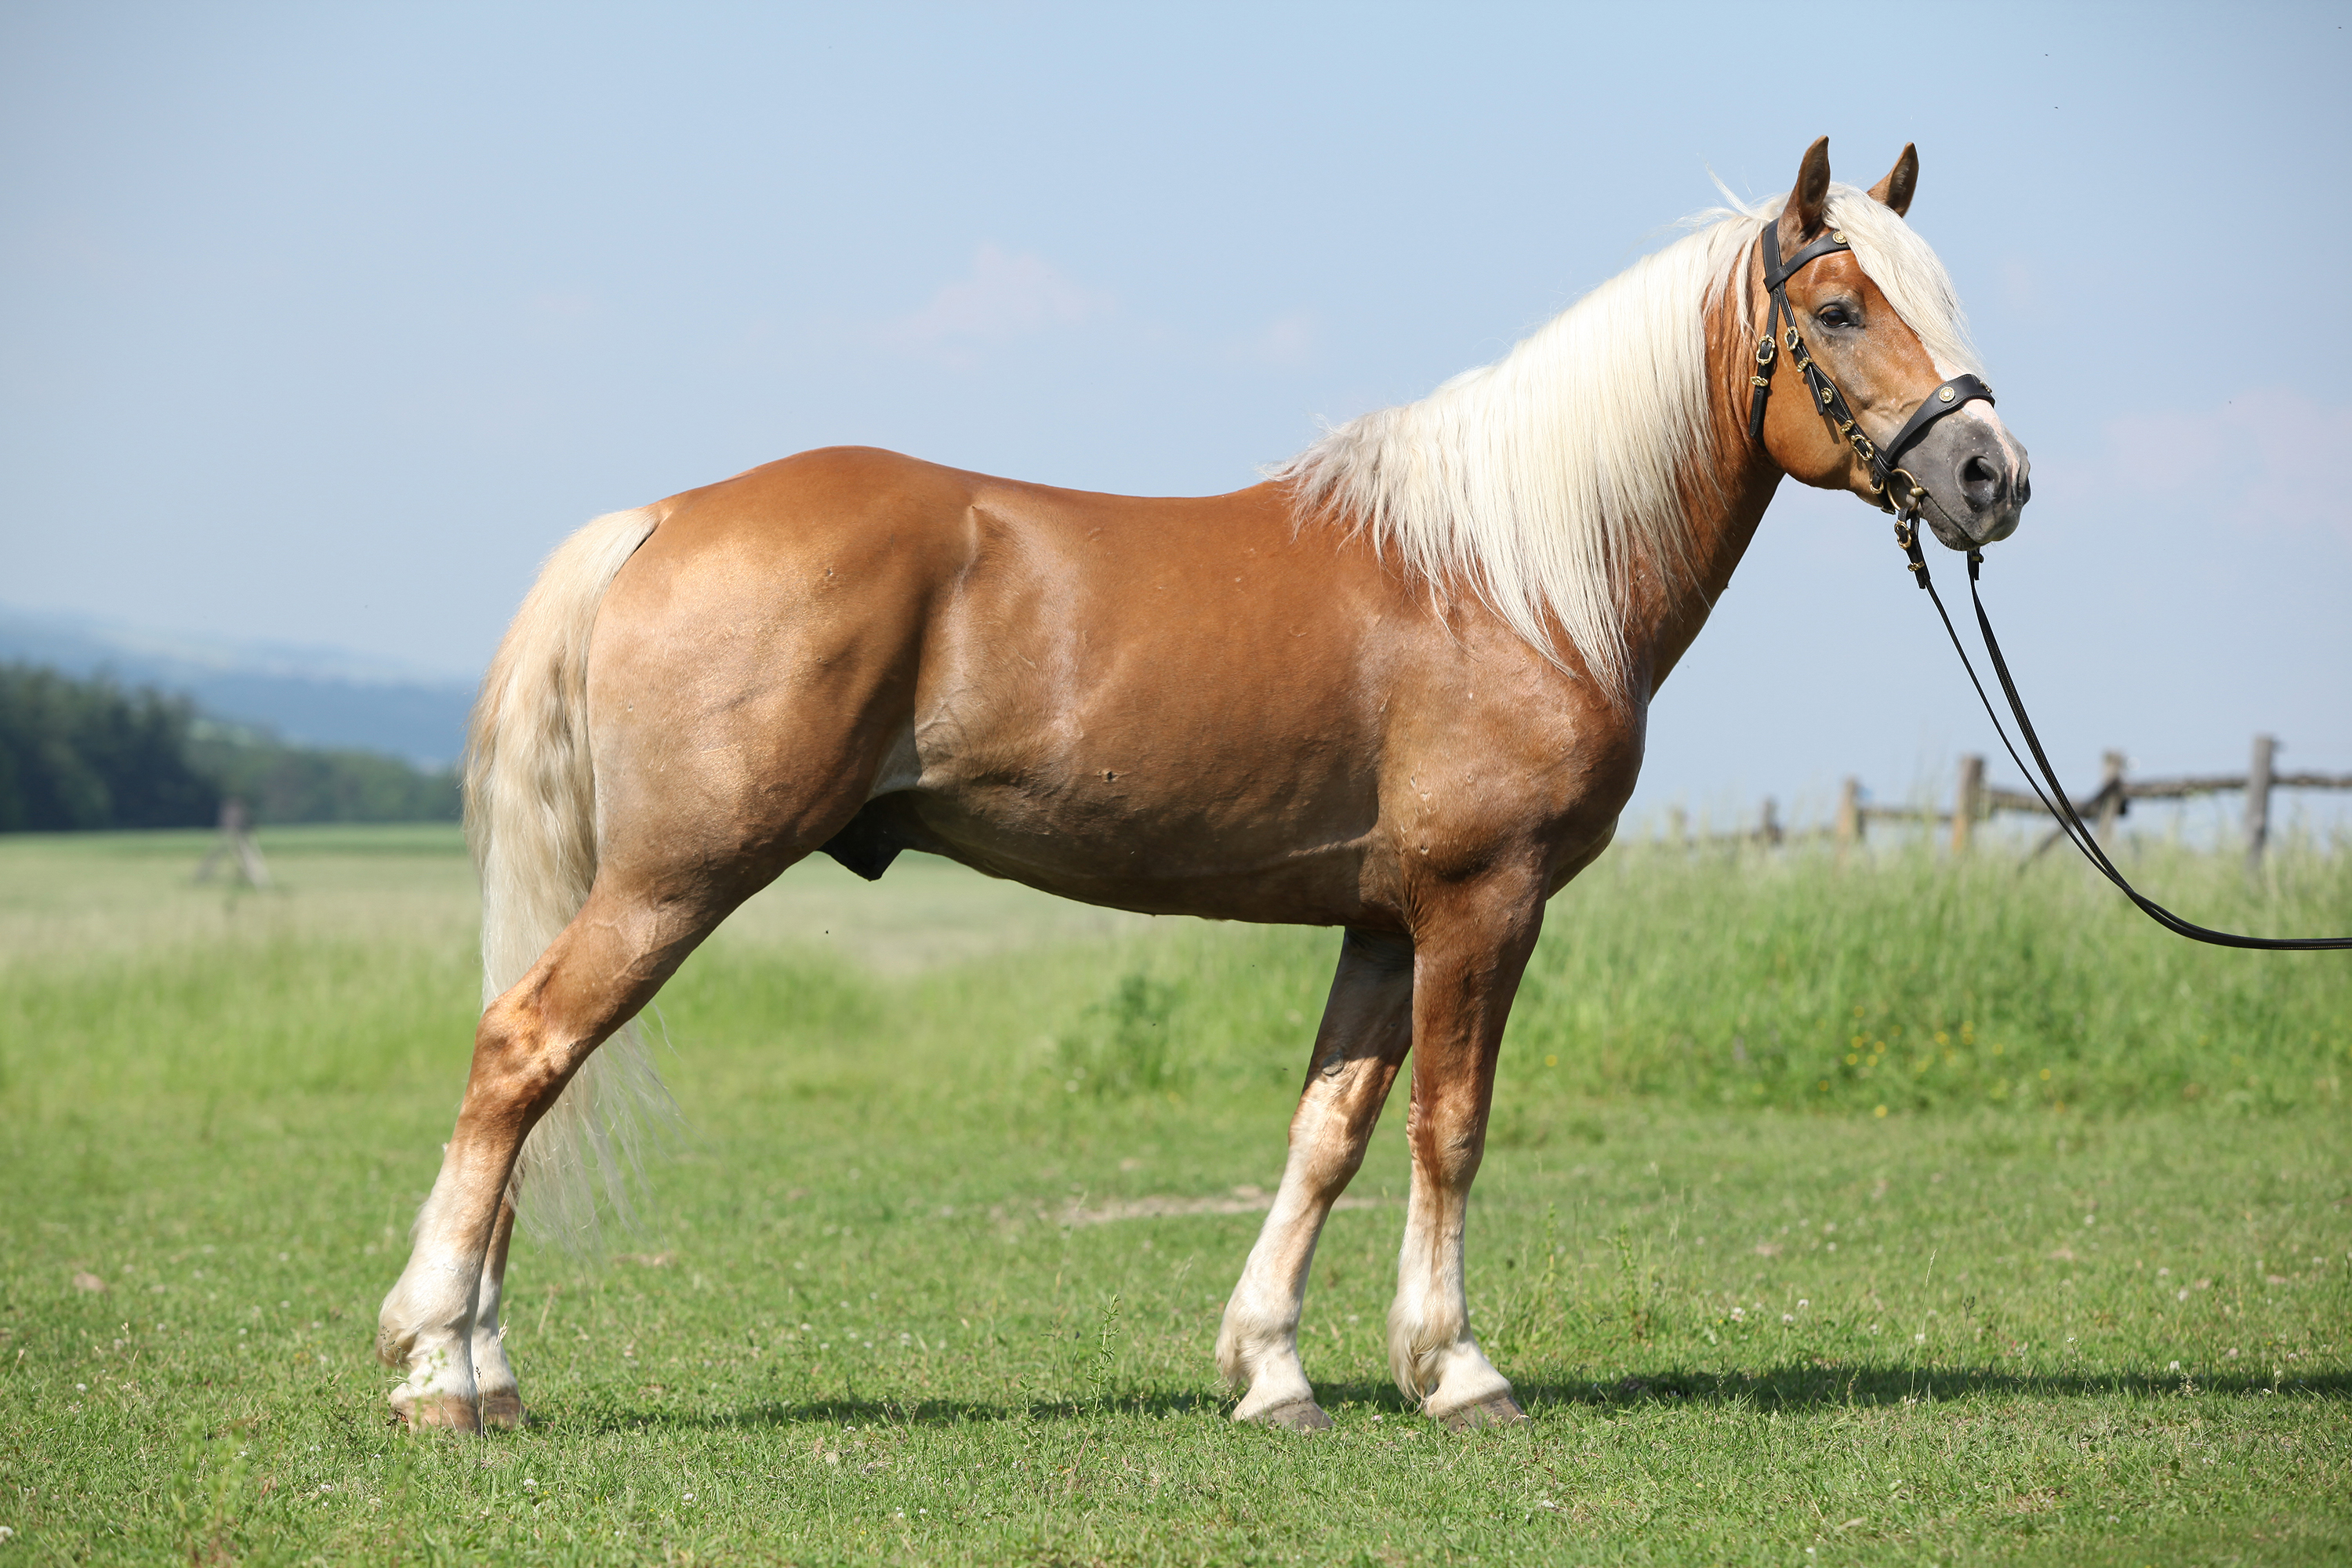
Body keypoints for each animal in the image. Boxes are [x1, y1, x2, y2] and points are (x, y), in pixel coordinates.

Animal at [381, 138, 2023, 1439]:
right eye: (1836, 308)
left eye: (1940, 301)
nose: (1992, 479)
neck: (1510, 576)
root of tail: (660, 518)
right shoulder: (1481, 903)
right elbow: (1451, 1127)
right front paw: (1458, 1370)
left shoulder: (1382, 921)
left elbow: (1329, 1134)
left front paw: (1272, 1371)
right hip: (679, 877)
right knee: (523, 1050)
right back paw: (439, 1369)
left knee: (536, 1074)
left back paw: (481, 1366)